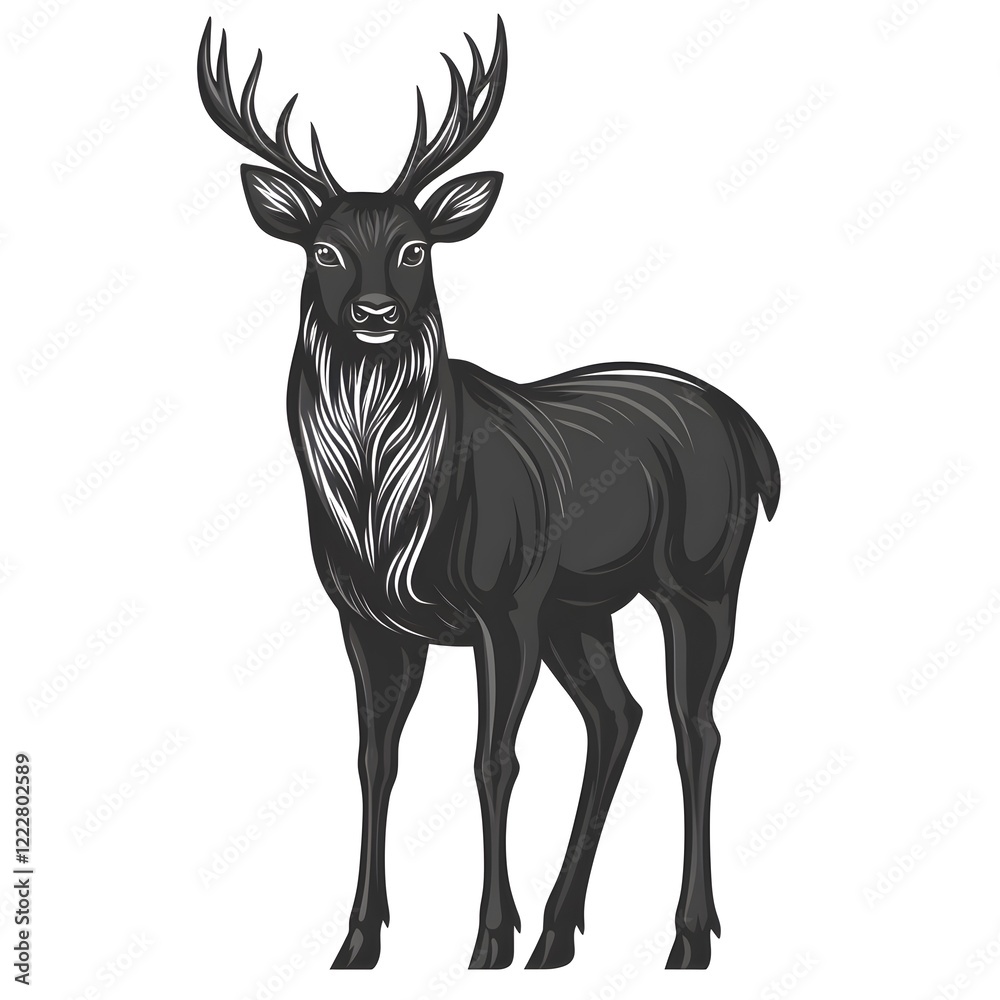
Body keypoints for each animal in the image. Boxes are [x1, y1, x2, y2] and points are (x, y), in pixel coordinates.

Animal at [197, 15, 780, 971]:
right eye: (325, 247)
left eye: (414, 247)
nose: (373, 313)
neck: (385, 517)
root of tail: (753, 437)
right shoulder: (364, 617)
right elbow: (375, 760)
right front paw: (357, 942)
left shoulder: (503, 602)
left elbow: (491, 760)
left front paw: (486, 941)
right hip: (581, 608)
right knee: (619, 715)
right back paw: (559, 935)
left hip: (700, 576)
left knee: (697, 726)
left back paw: (687, 938)